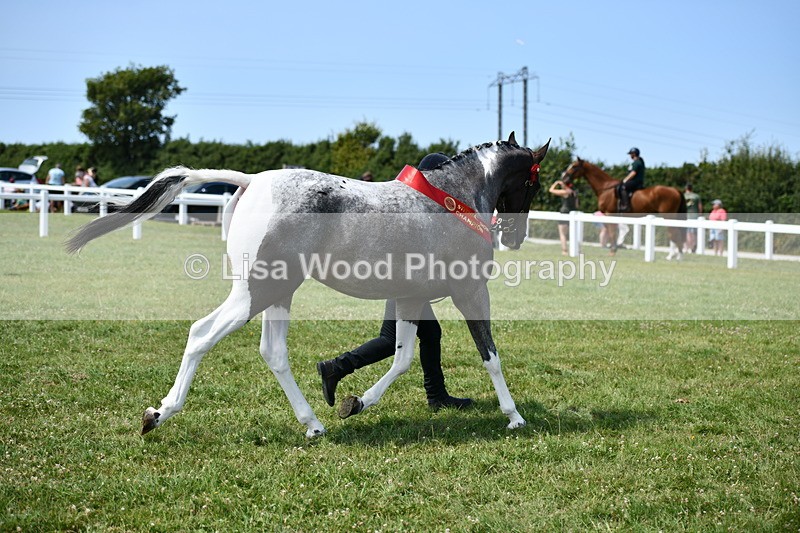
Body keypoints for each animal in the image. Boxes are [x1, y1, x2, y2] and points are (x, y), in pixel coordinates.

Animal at [66, 133, 550, 438]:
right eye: (534, 181)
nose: (515, 237)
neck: (454, 200)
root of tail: (252, 181)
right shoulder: (470, 292)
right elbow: (490, 355)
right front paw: (514, 417)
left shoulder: (410, 297)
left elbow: (403, 358)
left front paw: (356, 402)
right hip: (256, 293)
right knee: (202, 334)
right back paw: (158, 413)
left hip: (279, 293)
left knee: (273, 352)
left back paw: (313, 423)